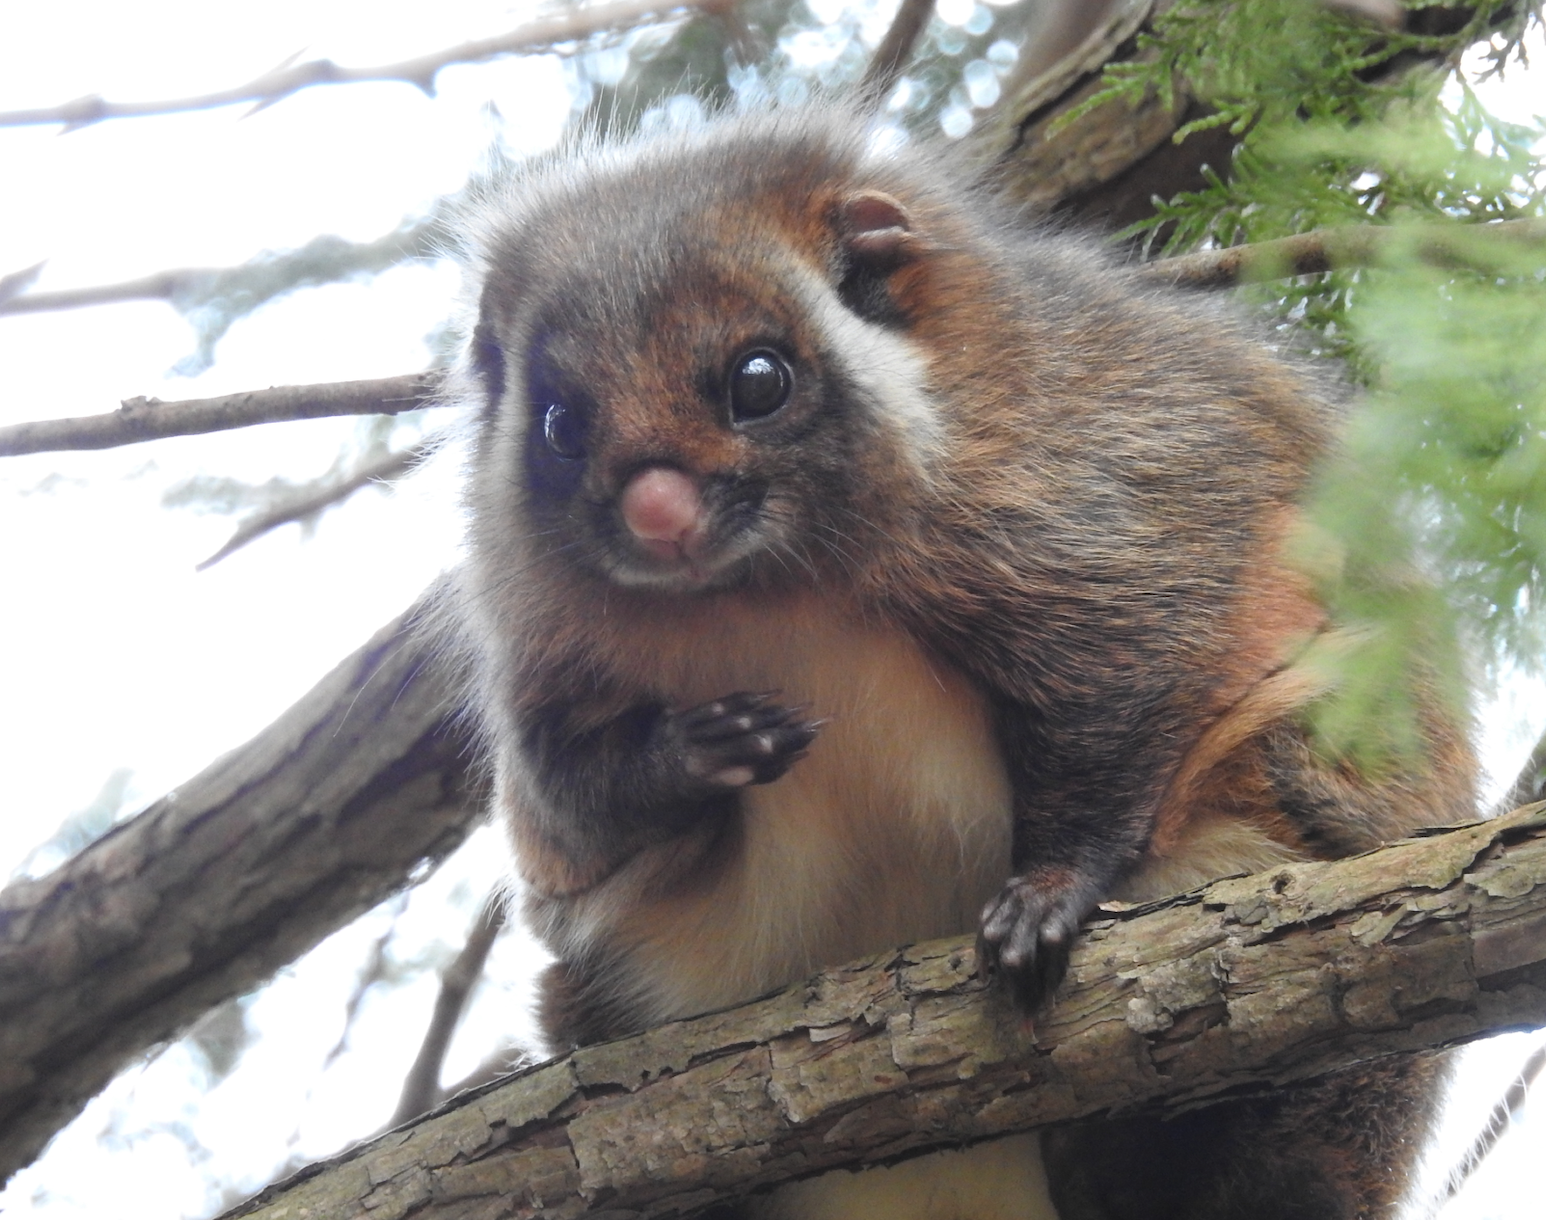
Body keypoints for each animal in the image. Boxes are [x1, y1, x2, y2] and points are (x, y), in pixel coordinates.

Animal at [445, 104, 1471, 1218]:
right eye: (560, 423)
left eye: (758, 380)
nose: (657, 514)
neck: (775, 588)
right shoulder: (538, 645)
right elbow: (563, 818)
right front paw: (696, 751)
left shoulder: (1096, 483)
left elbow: (1138, 647)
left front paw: (1052, 887)